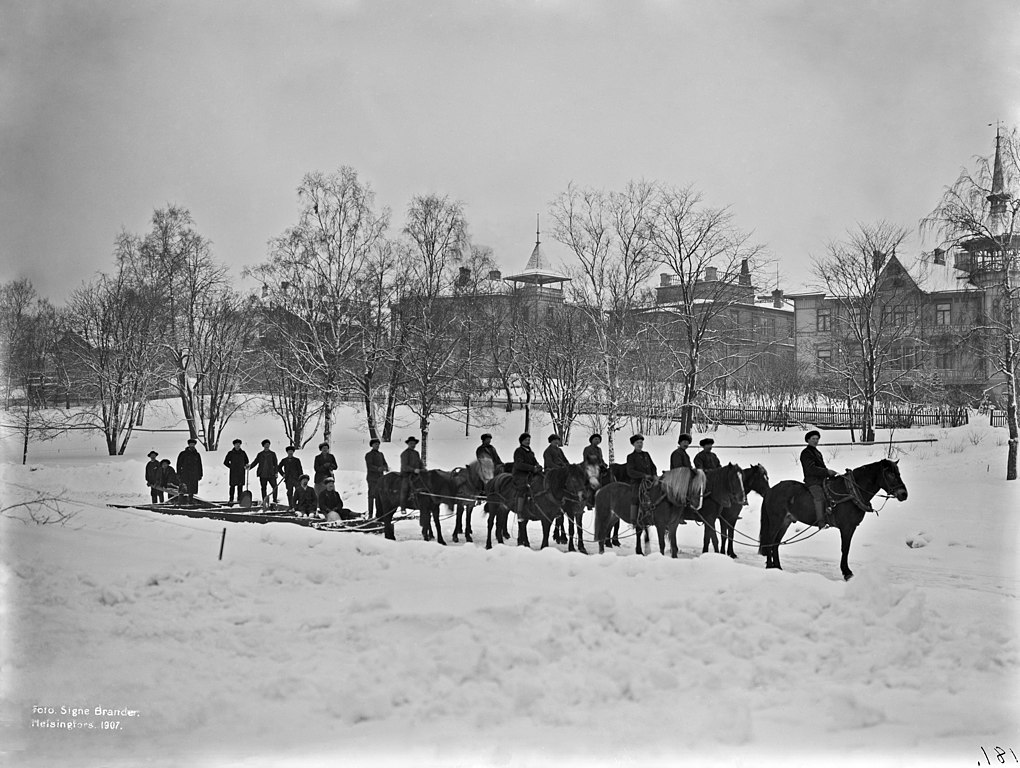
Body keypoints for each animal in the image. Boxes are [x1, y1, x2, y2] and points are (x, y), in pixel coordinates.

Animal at [758, 458, 909, 579]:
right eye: (890, 474)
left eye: (899, 473)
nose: (904, 494)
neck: (850, 492)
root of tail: (771, 490)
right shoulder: (847, 527)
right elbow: (845, 549)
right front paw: (847, 572)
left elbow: (846, 549)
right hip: (776, 521)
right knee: (770, 542)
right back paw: (770, 566)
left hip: (786, 521)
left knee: (776, 543)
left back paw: (777, 567)